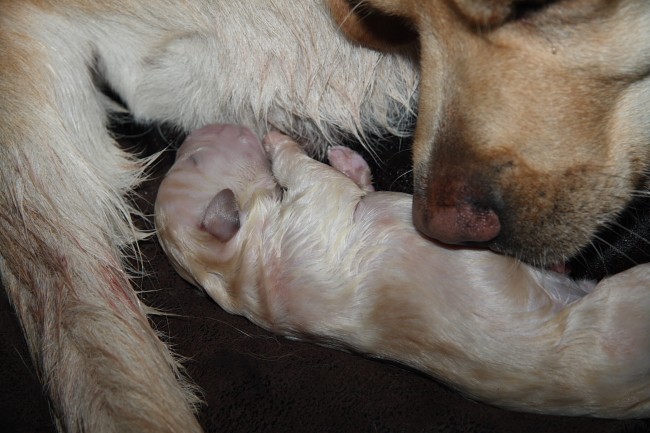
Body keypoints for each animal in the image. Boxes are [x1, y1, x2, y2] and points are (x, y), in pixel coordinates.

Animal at [156, 124, 648, 418]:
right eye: (194, 161)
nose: (196, 128)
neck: (237, 267)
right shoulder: (312, 210)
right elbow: (306, 170)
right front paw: (279, 139)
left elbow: (351, 181)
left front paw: (347, 158)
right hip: (622, 304)